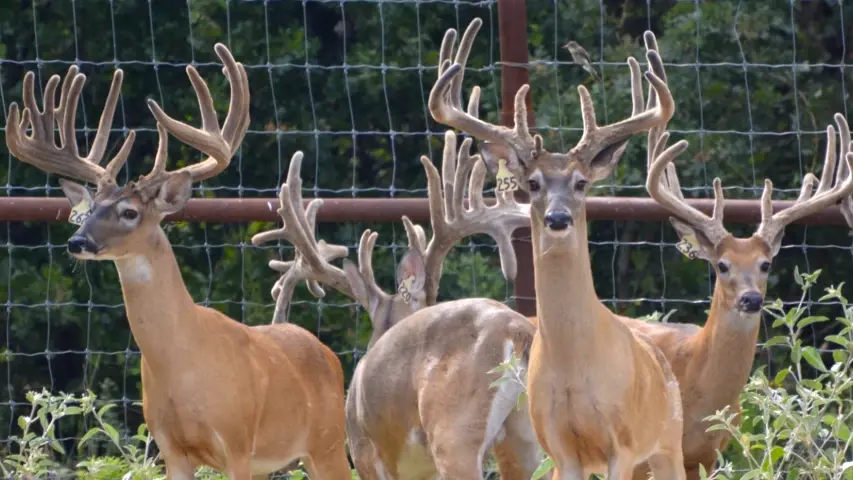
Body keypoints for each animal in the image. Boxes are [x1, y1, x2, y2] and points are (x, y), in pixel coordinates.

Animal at [2, 43, 350, 478]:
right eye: (88, 211)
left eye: (130, 212)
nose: (76, 241)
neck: (181, 362)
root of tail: (326, 353)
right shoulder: (169, 446)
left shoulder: (236, 443)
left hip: (329, 442)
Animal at [432, 17, 684, 476]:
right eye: (532, 184)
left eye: (581, 183)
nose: (558, 218)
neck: (575, 366)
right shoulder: (560, 446)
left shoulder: (622, 444)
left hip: (668, 440)